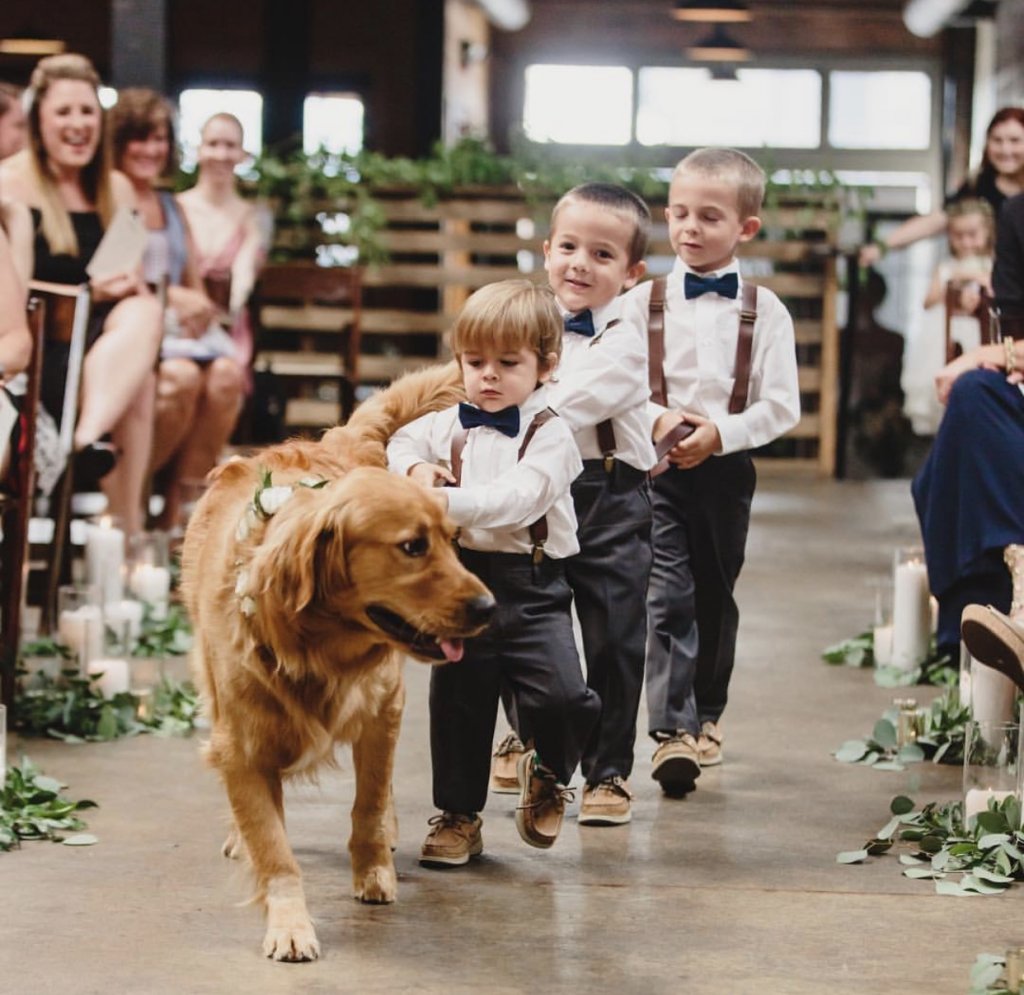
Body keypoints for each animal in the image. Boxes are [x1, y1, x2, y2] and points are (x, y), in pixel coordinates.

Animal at [183, 362, 495, 958]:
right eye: (412, 547)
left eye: (452, 541)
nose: (489, 608)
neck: (317, 646)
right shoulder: (242, 743)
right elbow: (273, 845)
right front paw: (289, 921)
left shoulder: (382, 713)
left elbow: (369, 805)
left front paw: (373, 872)